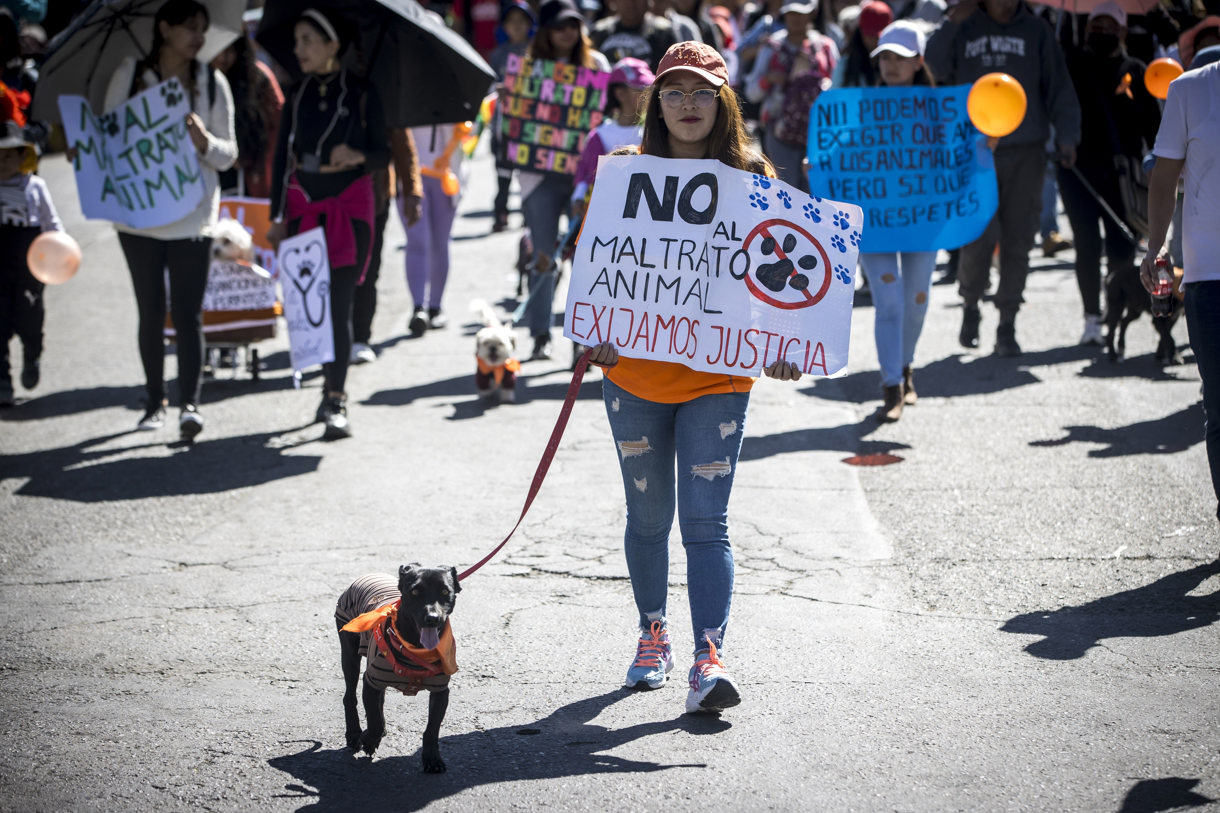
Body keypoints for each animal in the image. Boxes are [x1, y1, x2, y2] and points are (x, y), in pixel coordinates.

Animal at [334, 561, 461, 771]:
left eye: (445, 591)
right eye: (415, 591)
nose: (433, 617)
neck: (416, 649)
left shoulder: (441, 691)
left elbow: (432, 729)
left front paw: (432, 758)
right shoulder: (371, 680)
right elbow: (374, 720)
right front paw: (369, 739)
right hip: (349, 652)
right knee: (349, 696)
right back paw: (354, 733)